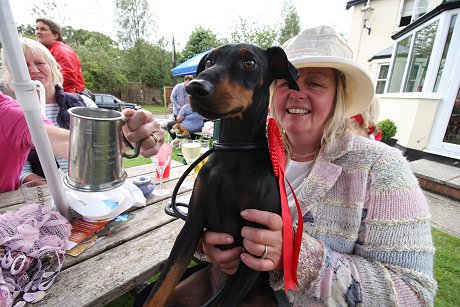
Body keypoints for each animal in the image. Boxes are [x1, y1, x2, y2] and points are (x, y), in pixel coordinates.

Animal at [145, 44, 302, 307]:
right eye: (209, 61)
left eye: (249, 62)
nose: (195, 87)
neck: (233, 153)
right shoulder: (192, 224)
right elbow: (160, 288)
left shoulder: (256, 247)